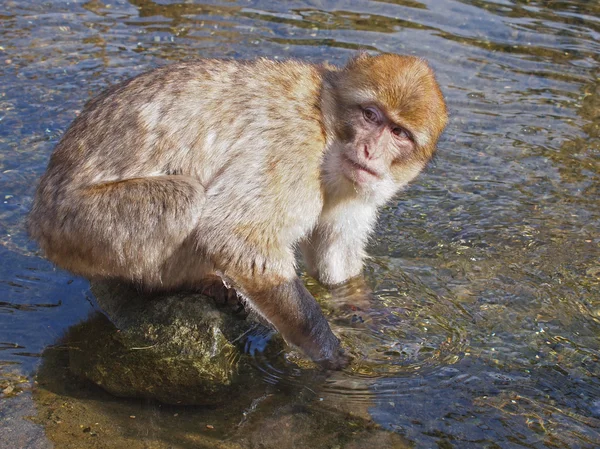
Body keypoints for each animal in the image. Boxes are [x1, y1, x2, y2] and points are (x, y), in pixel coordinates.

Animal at [28, 53, 448, 368]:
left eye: (398, 133)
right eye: (370, 115)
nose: (369, 151)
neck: (326, 124)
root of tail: (39, 218)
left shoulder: (354, 188)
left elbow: (334, 264)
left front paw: (362, 311)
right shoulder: (294, 148)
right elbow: (235, 237)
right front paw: (327, 350)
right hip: (80, 227)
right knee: (185, 197)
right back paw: (181, 282)